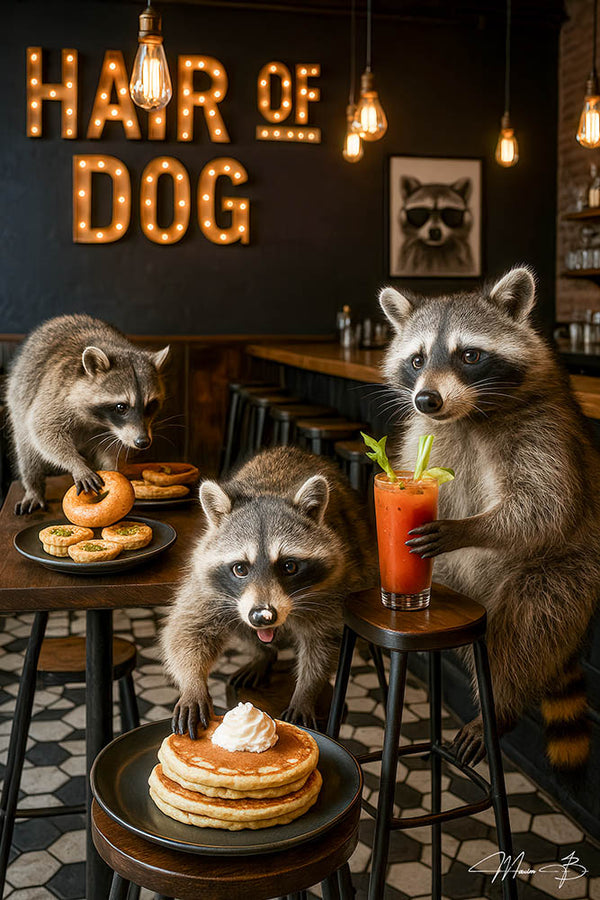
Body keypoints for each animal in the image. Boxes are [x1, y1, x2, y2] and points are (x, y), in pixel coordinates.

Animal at [6, 314, 169, 514]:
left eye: (150, 406)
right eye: (121, 407)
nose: (143, 442)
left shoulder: (117, 432)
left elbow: (113, 447)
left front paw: (113, 468)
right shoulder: (55, 394)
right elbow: (43, 430)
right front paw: (76, 464)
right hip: (19, 396)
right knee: (27, 449)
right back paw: (33, 487)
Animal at [162, 446, 377, 738]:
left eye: (289, 566)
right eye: (240, 568)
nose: (263, 616)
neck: (270, 492)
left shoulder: (333, 584)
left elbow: (324, 640)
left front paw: (307, 690)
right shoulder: (207, 584)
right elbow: (187, 629)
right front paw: (192, 684)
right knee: (239, 624)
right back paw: (264, 654)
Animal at [379, 267, 600, 769]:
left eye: (469, 355)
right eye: (417, 360)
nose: (427, 399)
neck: (469, 414)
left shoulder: (545, 430)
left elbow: (546, 506)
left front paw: (469, 528)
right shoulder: (426, 435)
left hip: (568, 570)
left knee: (529, 625)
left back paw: (498, 708)